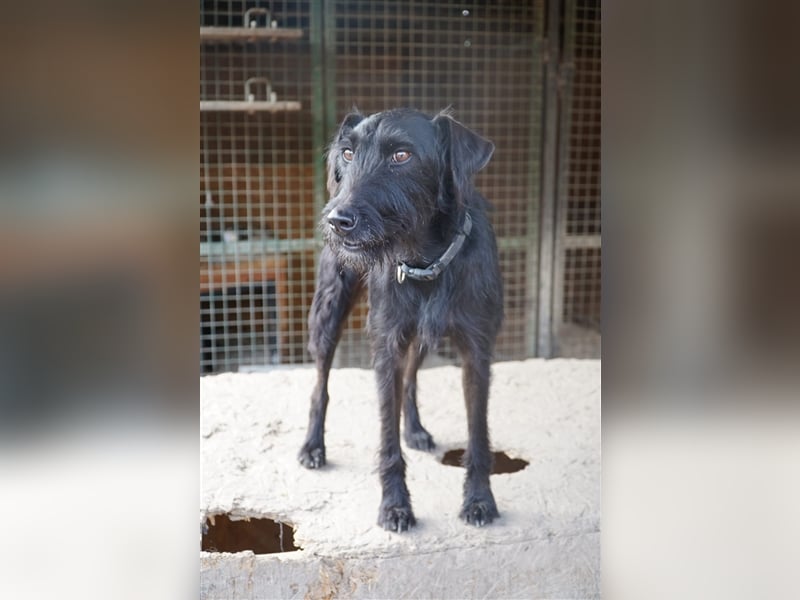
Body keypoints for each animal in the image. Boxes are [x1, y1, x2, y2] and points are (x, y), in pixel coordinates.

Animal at [296, 110, 504, 532]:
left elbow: (478, 433)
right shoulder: (386, 348)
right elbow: (386, 438)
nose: (336, 220)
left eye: (402, 155)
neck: (426, 259)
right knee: (320, 385)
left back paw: (416, 430)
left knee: (411, 379)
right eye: (347, 152)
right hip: (327, 312)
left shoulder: (477, 352)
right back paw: (312, 446)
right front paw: (395, 506)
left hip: (422, 336)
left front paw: (479, 500)